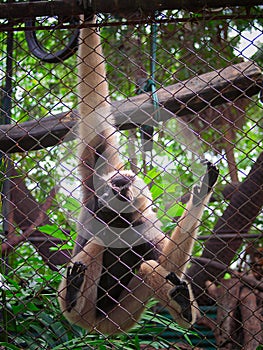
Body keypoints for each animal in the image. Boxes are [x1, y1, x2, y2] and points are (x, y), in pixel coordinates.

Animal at [58, 17, 221, 336]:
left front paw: (200, 195)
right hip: (86, 314)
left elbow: (166, 262)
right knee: (97, 246)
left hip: (126, 315)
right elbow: (95, 113)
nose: (120, 189)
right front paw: (88, 17)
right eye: (116, 183)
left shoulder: (147, 222)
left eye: (126, 183)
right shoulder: (96, 183)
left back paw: (183, 307)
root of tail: (100, 328)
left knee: (148, 267)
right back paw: (72, 294)